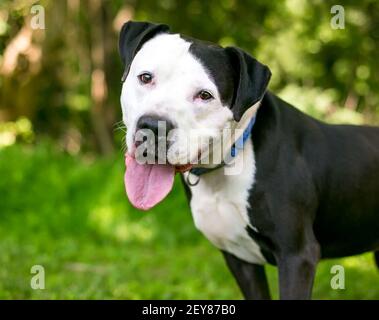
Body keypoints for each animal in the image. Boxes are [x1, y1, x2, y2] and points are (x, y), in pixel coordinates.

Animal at [119, 21, 379, 298]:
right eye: (146, 78)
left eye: (205, 95)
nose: (153, 127)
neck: (230, 160)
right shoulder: (240, 258)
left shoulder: (297, 256)